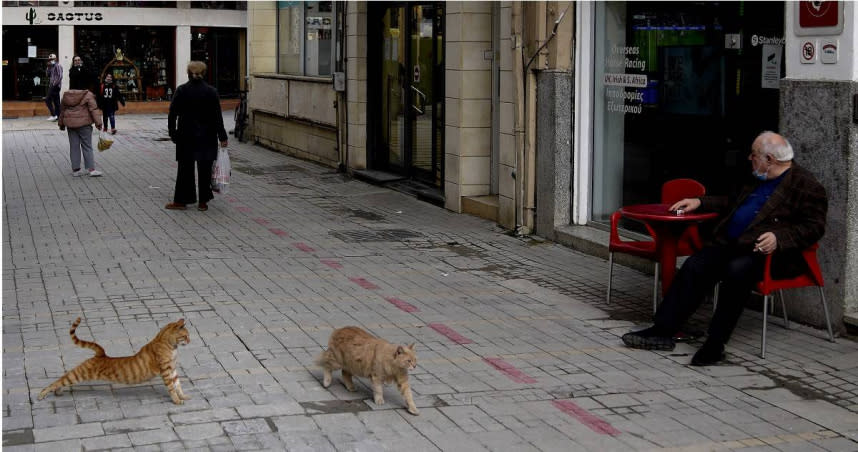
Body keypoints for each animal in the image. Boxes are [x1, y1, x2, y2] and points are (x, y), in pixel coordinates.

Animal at [38, 316, 191, 404]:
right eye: (185, 336)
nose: (190, 341)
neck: (171, 346)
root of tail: (101, 354)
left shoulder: (173, 369)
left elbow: (178, 385)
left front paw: (183, 396)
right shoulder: (165, 370)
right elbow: (171, 388)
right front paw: (177, 401)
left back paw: (58, 392)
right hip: (78, 374)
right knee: (58, 381)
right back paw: (42, 394)